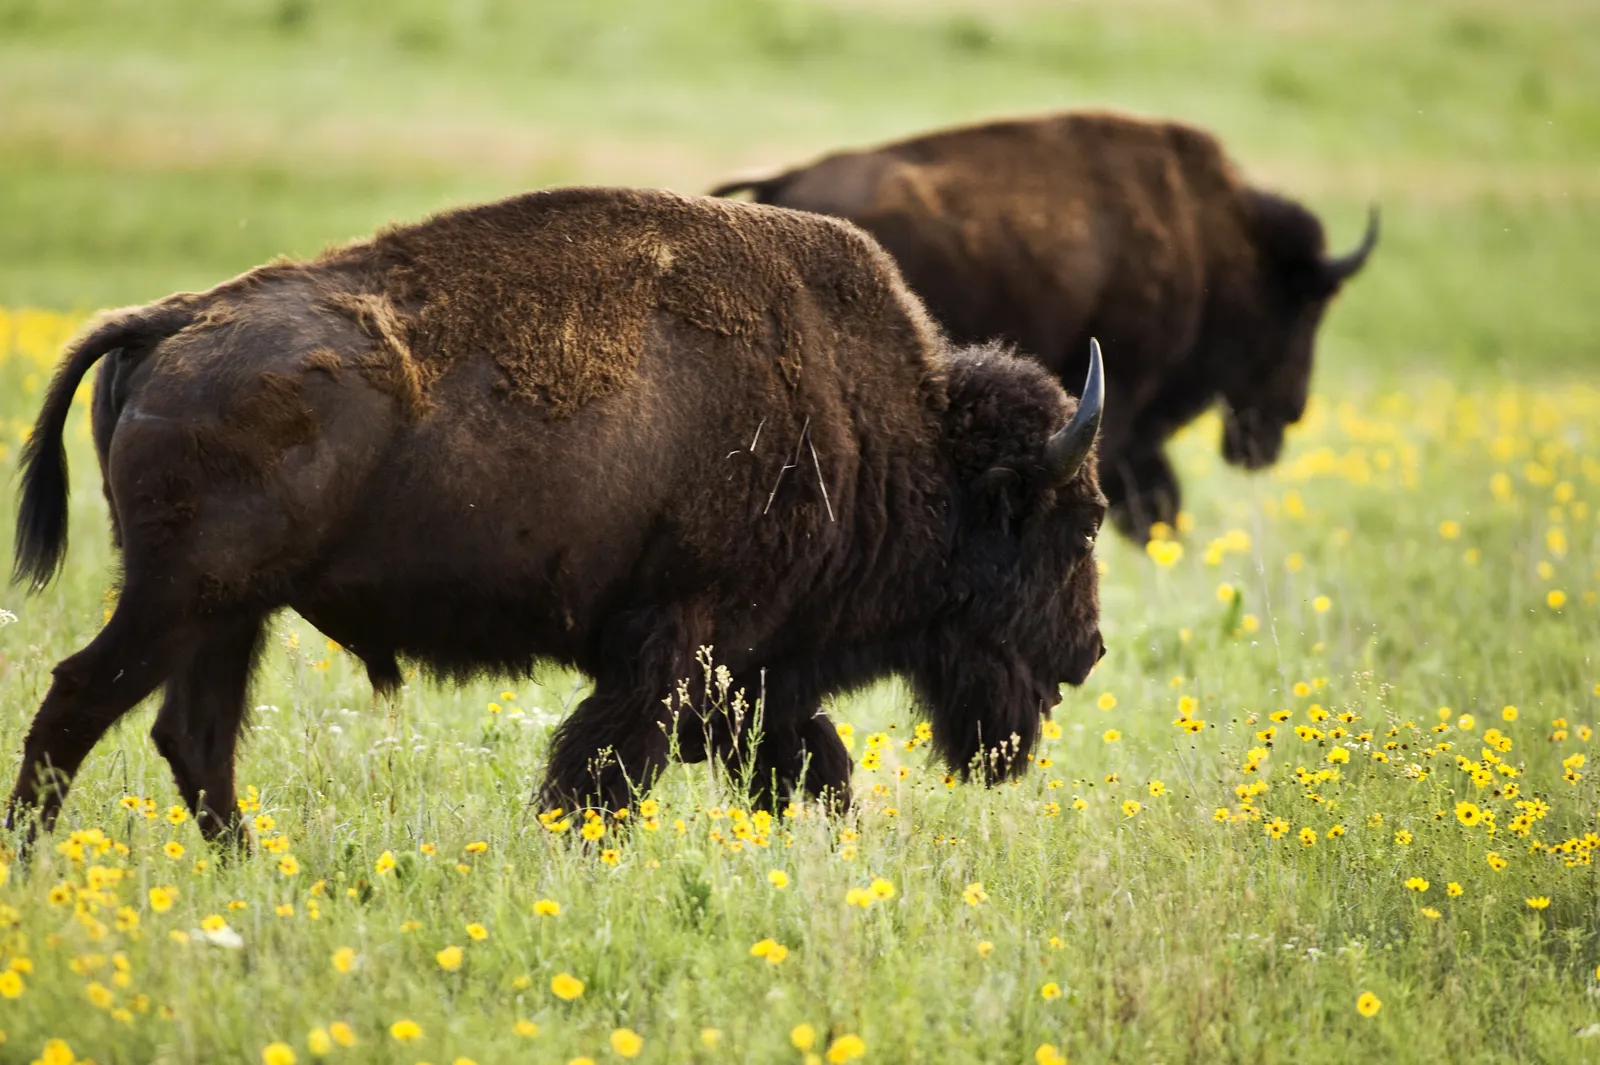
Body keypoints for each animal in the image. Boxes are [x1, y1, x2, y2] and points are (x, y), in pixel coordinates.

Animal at [9, 187, 1106, 839]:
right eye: (1080, 520)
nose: (1088, 650)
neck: (875, 426)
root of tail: (171, 320)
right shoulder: (679, 644)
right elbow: (604, 775)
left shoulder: (750, 671)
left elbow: (808, 766)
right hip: (181, 600)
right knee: (79, 703)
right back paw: (36, 865)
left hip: (231, 614)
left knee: (193, 738)